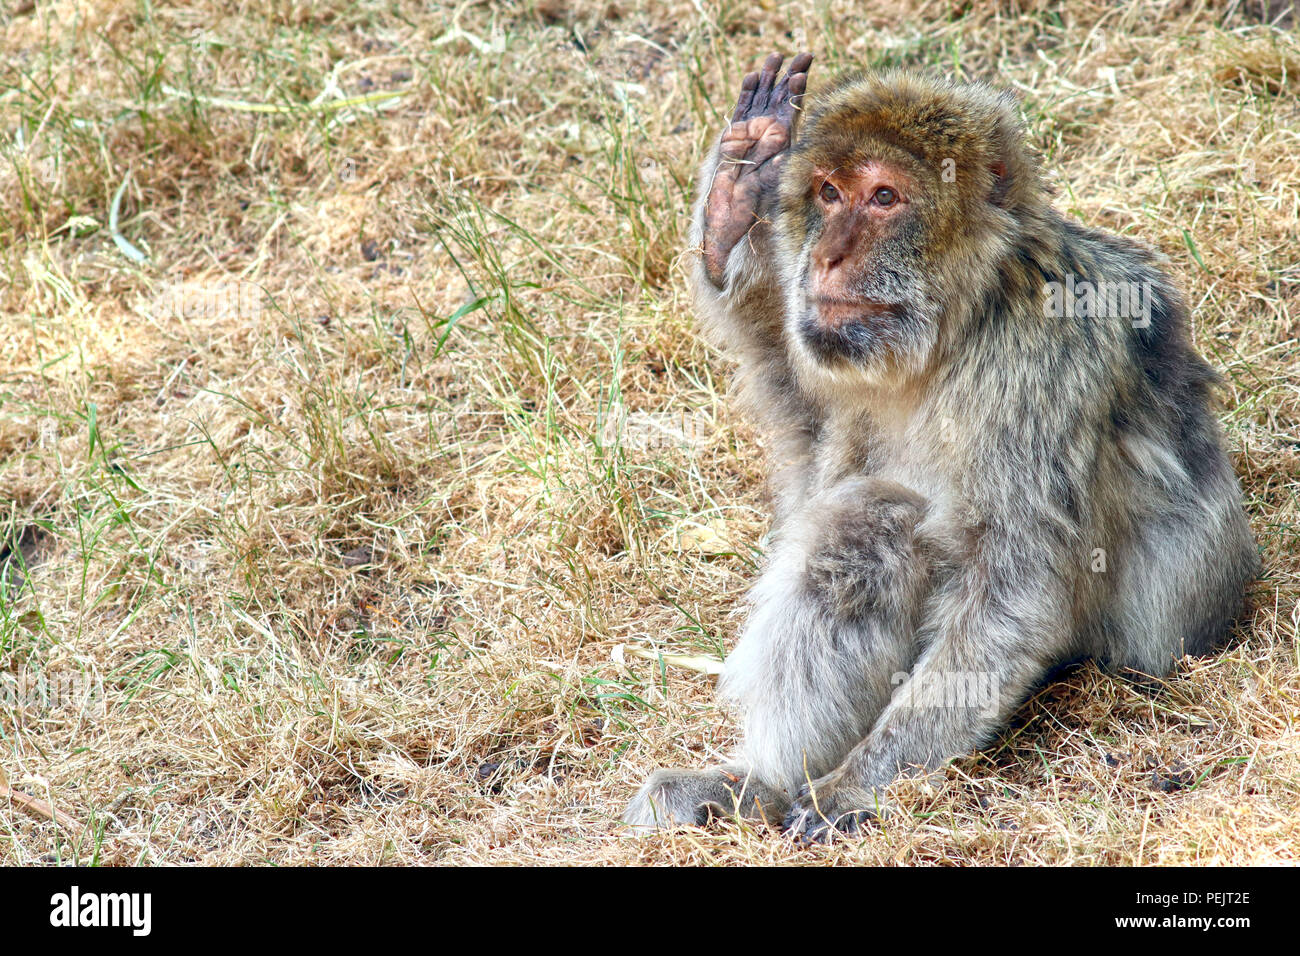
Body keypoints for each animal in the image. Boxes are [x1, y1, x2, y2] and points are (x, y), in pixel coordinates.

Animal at [621, 55, 1258, 842]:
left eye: (884, 197)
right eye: (829, 193)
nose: (826, 256)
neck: (961, 323)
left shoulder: (1039, 362)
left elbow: (1012, 591)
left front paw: (854, 786)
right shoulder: (834, 349)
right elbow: (805, 430)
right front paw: (737, 198)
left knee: (874, 522)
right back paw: (759, 785)